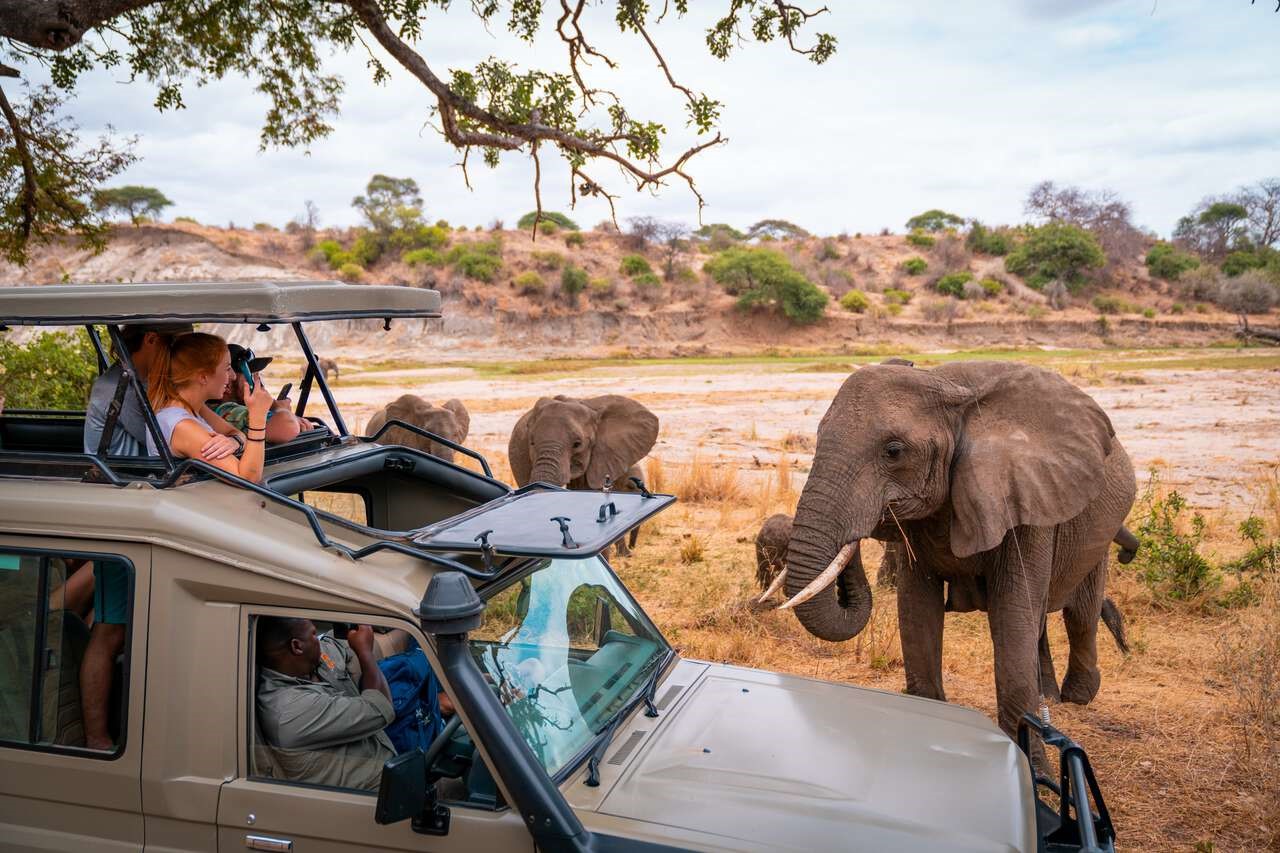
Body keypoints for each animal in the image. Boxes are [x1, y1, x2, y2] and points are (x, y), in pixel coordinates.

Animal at [773, 361, 1136, 737]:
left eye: (894, 451)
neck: (949, 388)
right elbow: (917, 613)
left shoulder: (1026, 499)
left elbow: (1012, 617)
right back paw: (1049, 694)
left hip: (1098, 529)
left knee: (1080, 612)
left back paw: (1078, 696)